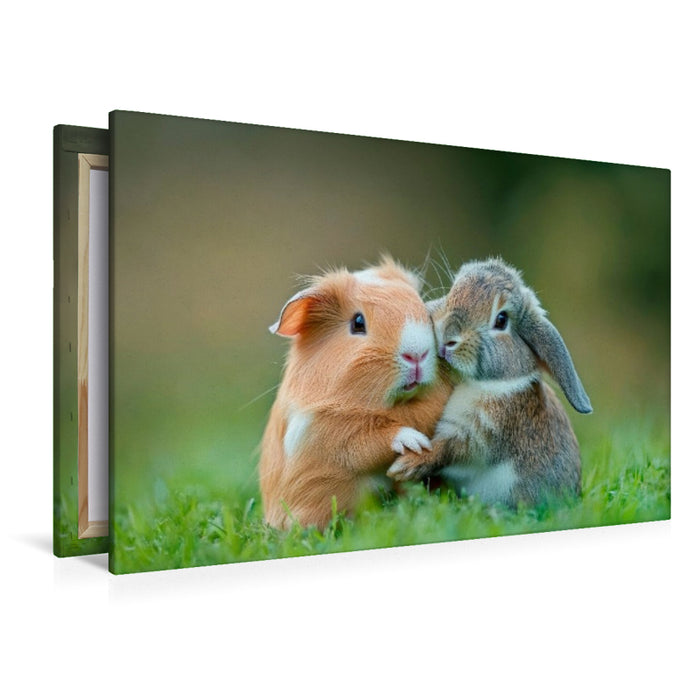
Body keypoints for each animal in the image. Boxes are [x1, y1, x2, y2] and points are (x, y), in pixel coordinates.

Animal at [259, 256, 453, 530]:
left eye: (423, 311)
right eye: (358, 323)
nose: (417, 355)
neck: (393, 406)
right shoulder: (329, 433)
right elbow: (370, 441)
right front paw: (415, 443)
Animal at [387, 257, 592, 508]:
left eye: (501, 320)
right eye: (452, 291)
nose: (448, 336)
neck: (481, 382)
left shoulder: (477, 434)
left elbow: (445, 449)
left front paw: (403, 467)